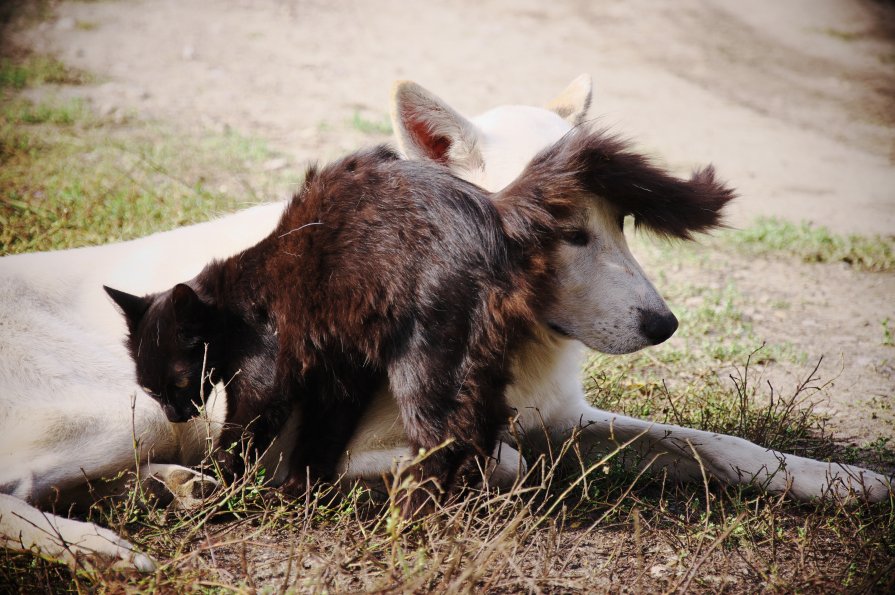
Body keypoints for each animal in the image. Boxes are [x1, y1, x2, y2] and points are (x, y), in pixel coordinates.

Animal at [1, 77, 888, 572]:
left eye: (622, 222)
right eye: (565, 230)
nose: (662, 324)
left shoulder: (567, 419)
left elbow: (721, 445)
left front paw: (849, 482)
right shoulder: (345, 432)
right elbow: (499, 460)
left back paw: (173, 488)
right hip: (139, 410)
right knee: (15, 488)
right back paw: (96, 545)